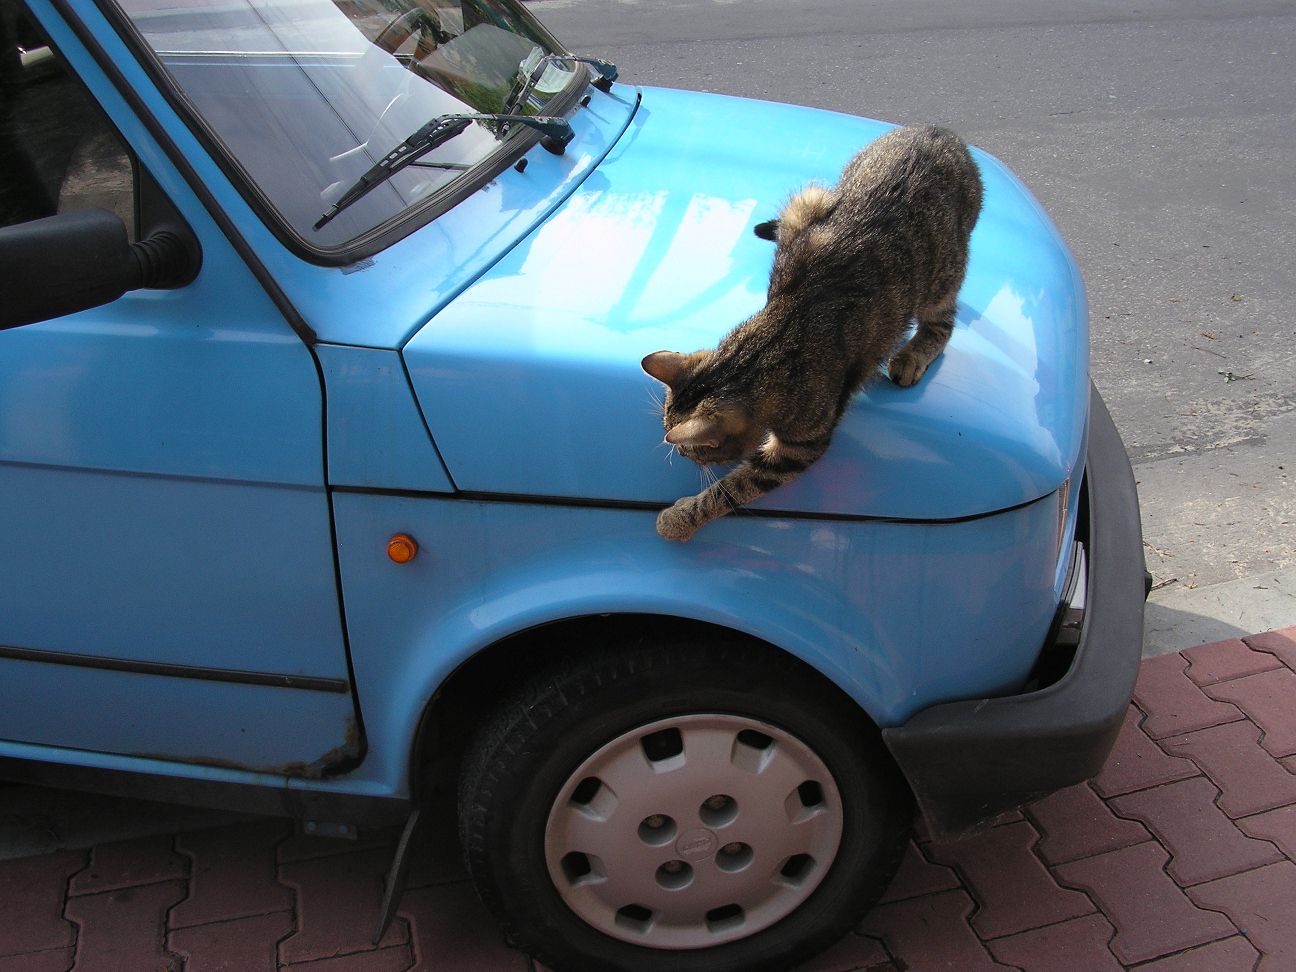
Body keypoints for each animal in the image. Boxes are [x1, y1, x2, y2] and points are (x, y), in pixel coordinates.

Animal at [642, 124, 983, 542]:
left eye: (696, 451)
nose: (685, 457)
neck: (769, 344)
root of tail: (941, 131)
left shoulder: (800, 446)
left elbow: (733, 489)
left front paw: (681, 518)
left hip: (940, 277)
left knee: (944, 320)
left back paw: (912, 356)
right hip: (811, 201)